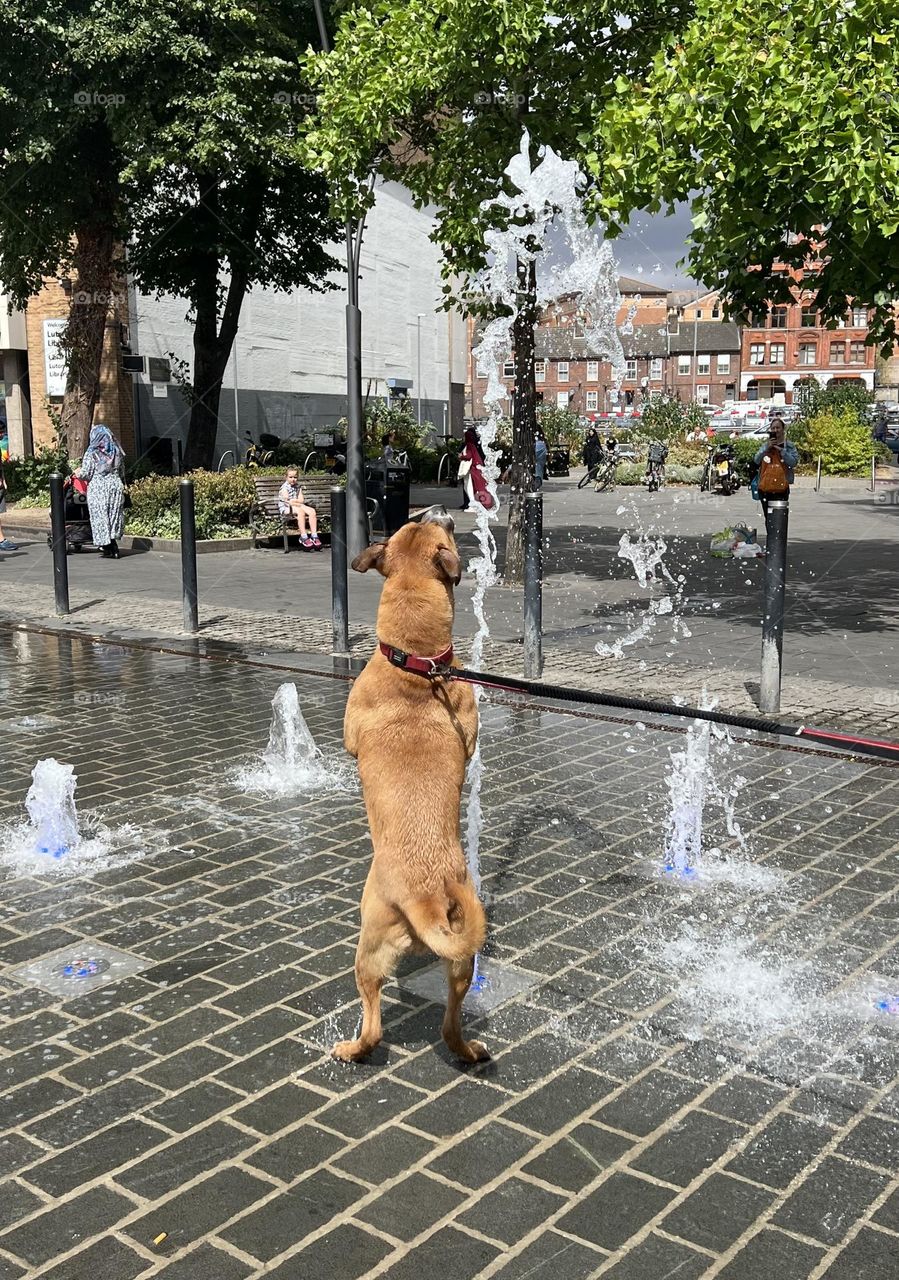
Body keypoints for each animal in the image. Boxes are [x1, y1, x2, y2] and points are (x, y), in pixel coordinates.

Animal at [335, 504, 491, 1064]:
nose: (434, 508)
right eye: (419, 524)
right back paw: (471, 1052)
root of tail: (424, 895)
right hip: (463, 965)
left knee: (374, 1021)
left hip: (369, 947)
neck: (417, 664)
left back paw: (350, 1049)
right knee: (449, 1025)